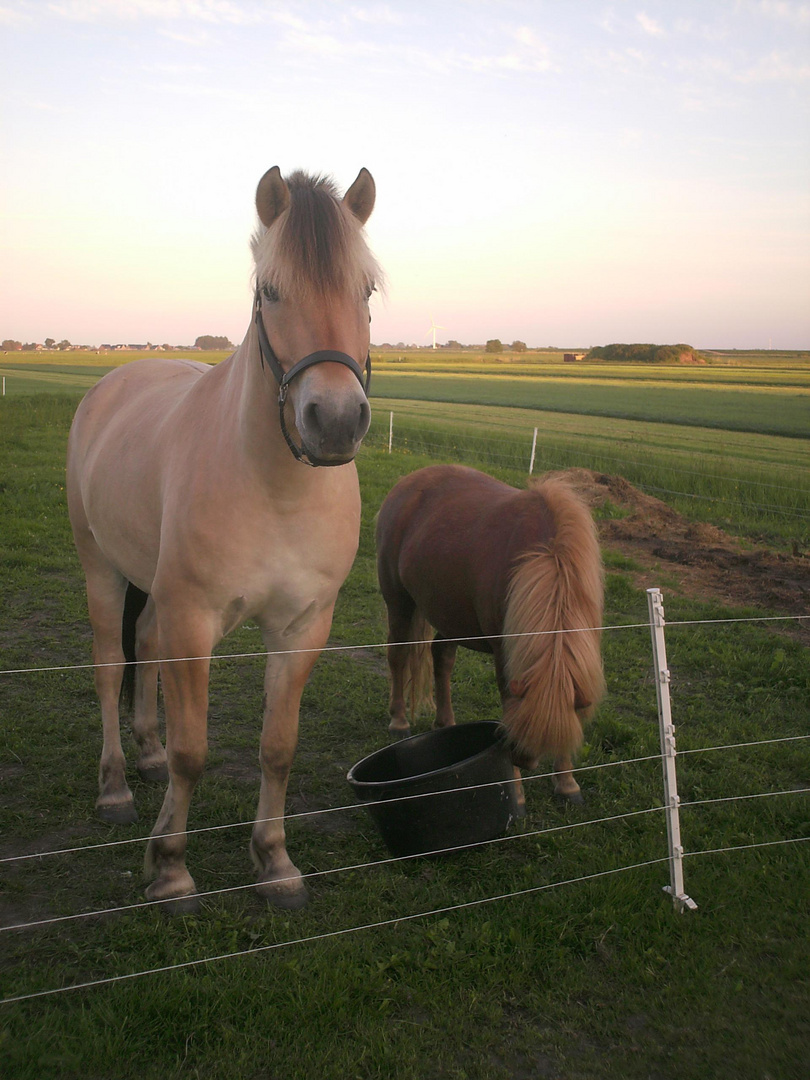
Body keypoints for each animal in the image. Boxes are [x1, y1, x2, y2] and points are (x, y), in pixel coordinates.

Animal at [65, 166, 382, 911]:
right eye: (271, 292)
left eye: (366, 290)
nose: (335, 421)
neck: (274, 488)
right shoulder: (195, 621)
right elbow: (194, 751)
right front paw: (171, 868)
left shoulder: (302, 627)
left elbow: (278, 747)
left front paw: (275, 861)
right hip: (101, 568)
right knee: (110, 665)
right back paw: (116, 787)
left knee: (144, 645)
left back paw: (146, 754)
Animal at [373, 464, 604, 803]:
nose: (523, 758)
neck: (550, 557)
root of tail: (408, 482)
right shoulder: (504, 653)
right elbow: (508, 701)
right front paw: (517, 789)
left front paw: (566, 783)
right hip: (399, 601)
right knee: (398, 655)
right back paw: (399, 721)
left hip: (450, 614)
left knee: (441, 657)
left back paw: (445, 722)